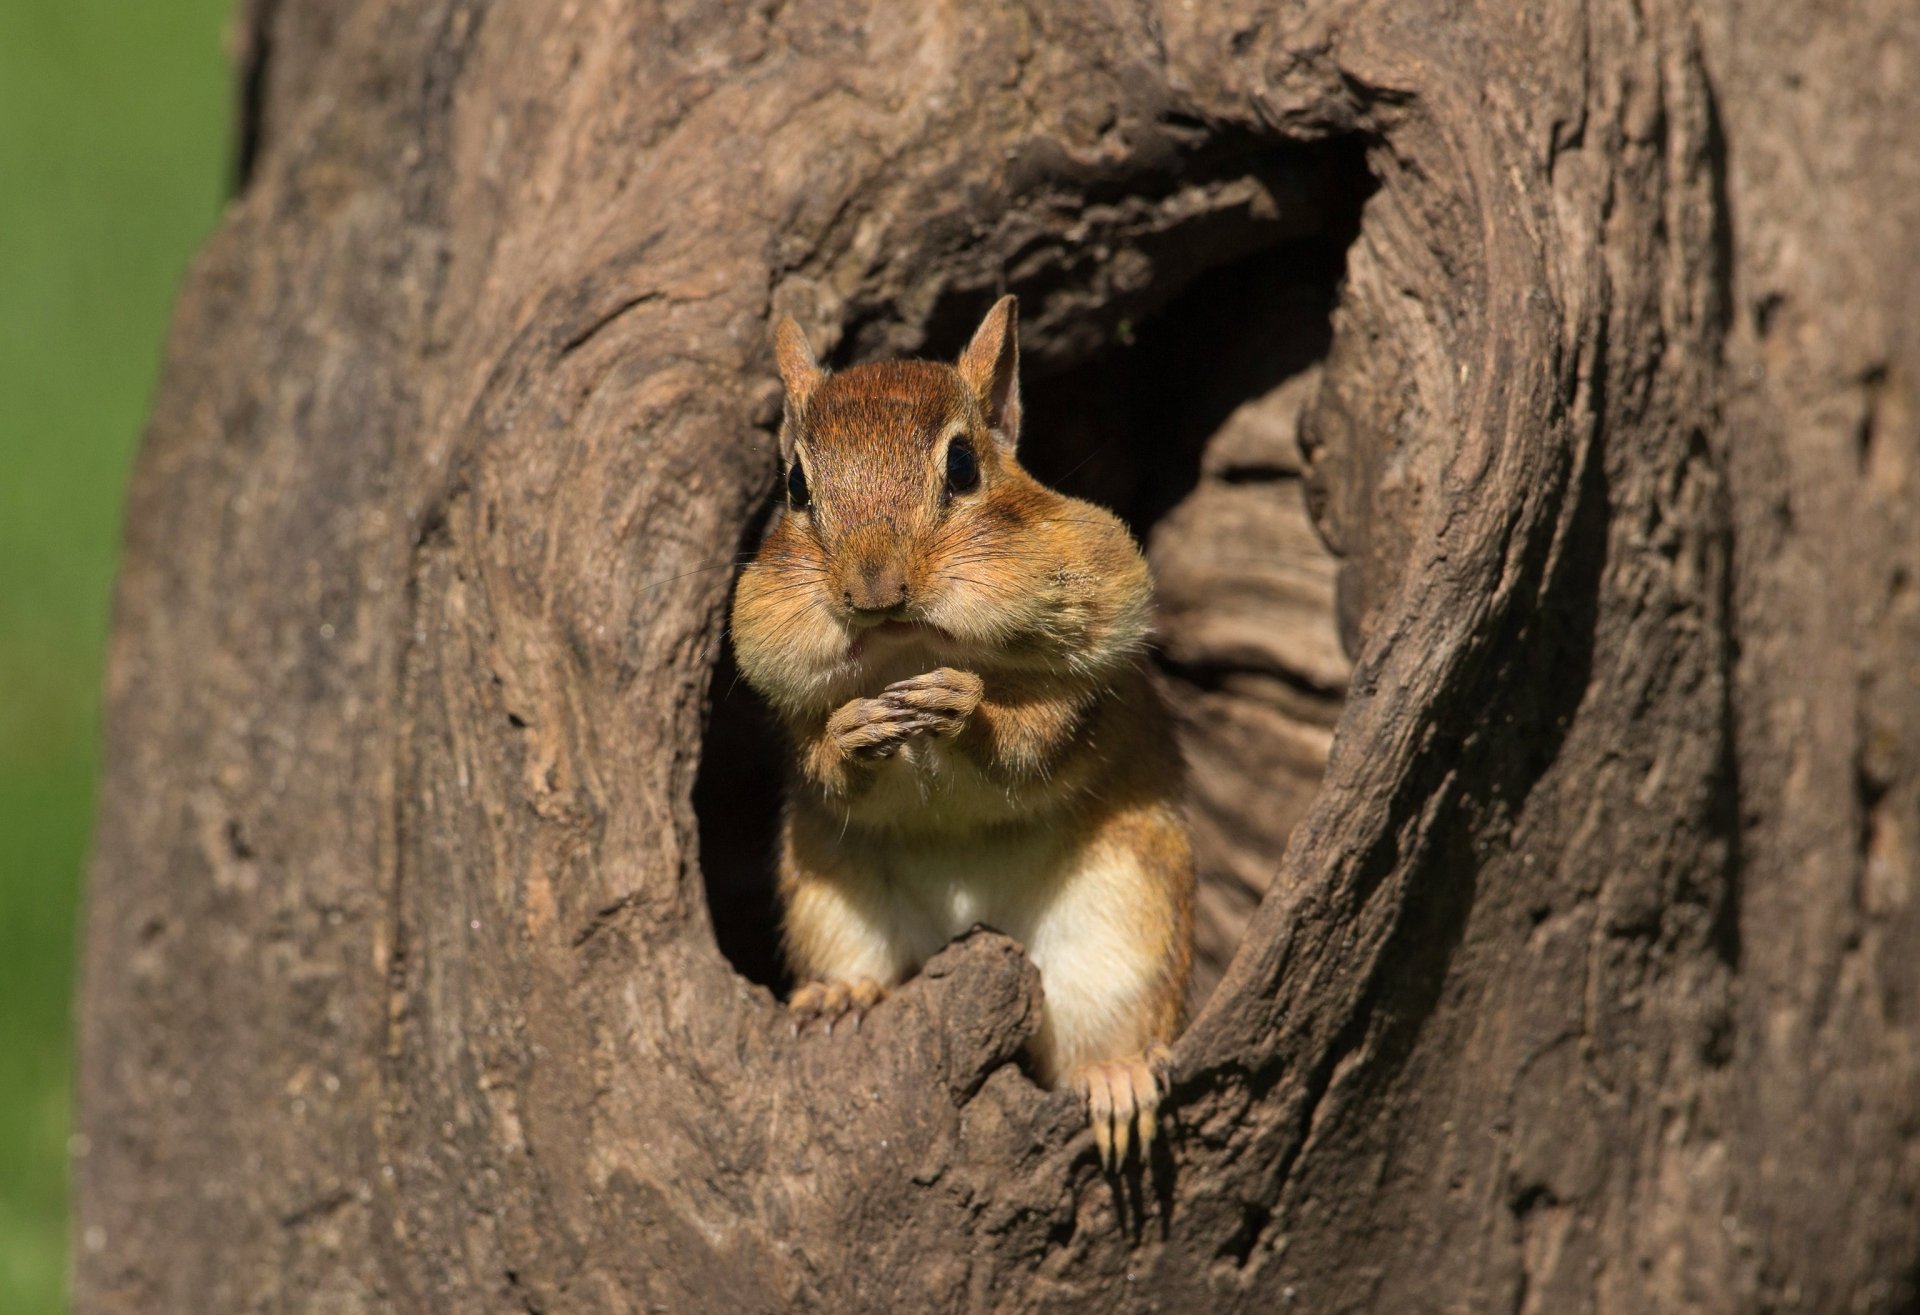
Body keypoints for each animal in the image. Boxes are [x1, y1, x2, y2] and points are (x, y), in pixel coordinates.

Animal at [729, 295, 1194, 1169]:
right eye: (797, 486)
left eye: (965, 467)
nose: (874, 590)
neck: (909, 646)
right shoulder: (783, 693)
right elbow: (818, 757)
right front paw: (852, 732)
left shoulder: (1095, 663)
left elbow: (1041, 734)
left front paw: (966, 708)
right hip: (831, 904)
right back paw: (840, 992)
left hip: (1125, 932)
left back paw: (1116, 1074)